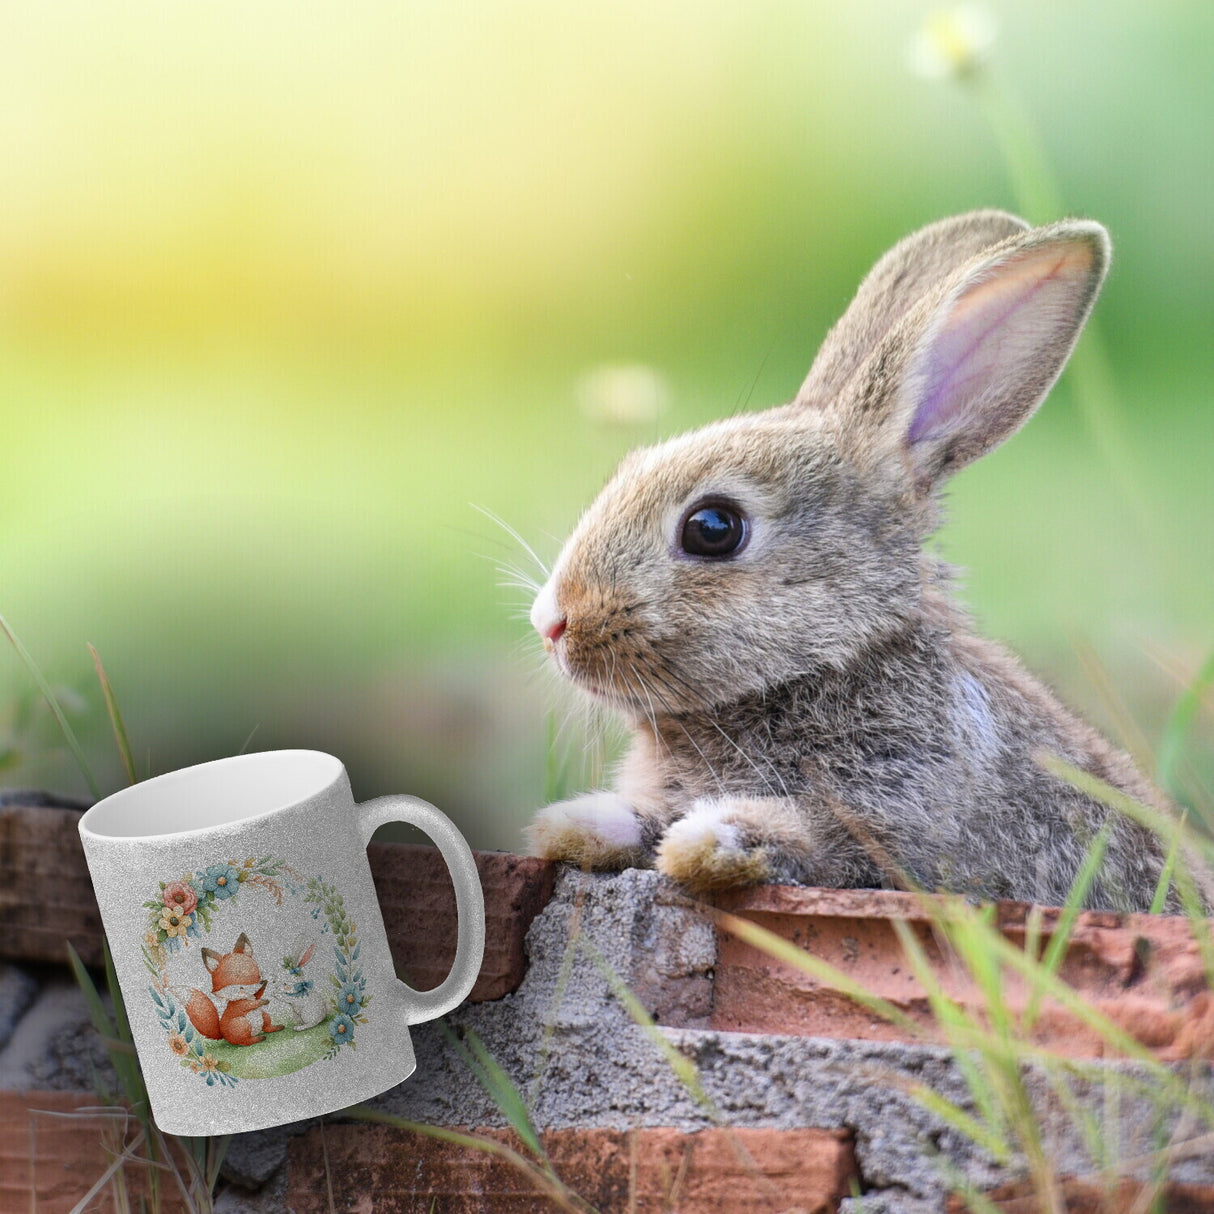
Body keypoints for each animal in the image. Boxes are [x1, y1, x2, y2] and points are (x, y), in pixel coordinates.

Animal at [524, 209, 1182, 913]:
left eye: (713, 528)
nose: (551, 622)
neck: (830, 662)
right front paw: (576, 823)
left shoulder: (899, 824)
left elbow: (815, 840)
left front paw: (710, 841)